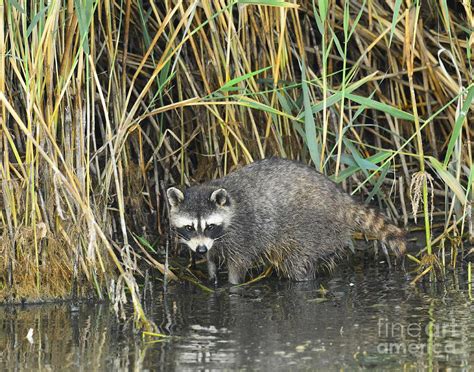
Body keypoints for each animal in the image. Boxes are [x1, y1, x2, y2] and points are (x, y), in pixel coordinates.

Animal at [166, 158, 404, 284]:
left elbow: (238, 265)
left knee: (297, 265)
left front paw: (232, 285)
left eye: (209, 226)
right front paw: (212, 276)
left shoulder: (243, 234)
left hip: (311, 232)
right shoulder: (214, 243)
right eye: (189, 227)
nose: (200, 250)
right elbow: (212, 260)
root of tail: (342, 200)